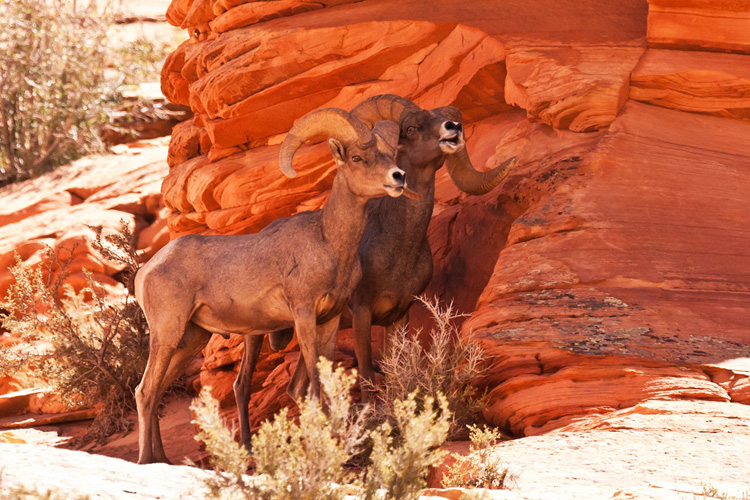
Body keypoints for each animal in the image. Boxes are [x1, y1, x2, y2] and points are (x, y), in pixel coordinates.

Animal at [132, 106, 408, 464]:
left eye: (390, 154)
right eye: (358, 158)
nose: (398, 177)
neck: (329, 243)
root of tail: (145, 271)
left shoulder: (330, 320)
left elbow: (325, 384)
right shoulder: (303, 315)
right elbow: (314, 387)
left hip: (191, 338)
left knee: (156, 391)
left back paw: (162, 460)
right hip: (167, 333)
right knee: (145, 391)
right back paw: (146, 461)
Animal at [235, 94, 516, 450]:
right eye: (411, 128)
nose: (453, 128)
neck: (397, 250)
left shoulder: (398, 317)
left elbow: (395, 379)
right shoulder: (362, 313)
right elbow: (368, 376)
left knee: (296, 389)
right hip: (255, 334)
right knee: (243, 385)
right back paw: (248, 447)